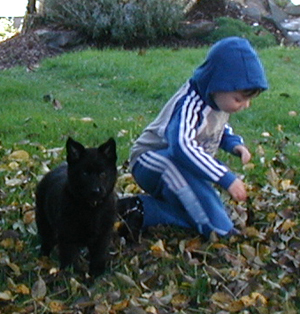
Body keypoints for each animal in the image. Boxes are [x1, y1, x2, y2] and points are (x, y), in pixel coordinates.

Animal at [35, 137, 118, 278]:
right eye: (84, 173)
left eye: (102, 174)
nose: (95, 191)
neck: (91, 208)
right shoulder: (67, 235)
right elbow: (69, 257)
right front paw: (71, 276)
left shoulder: (103, 234)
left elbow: (99, 254)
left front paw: (96, 273)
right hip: (43, 220)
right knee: (46, 239)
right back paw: (44, 256)